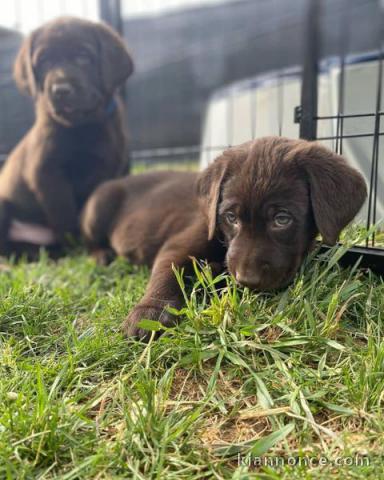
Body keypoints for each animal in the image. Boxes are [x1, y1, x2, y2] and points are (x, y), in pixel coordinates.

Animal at [81, 137, 366, 340]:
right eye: (231, 217)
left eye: (282, 219)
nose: (247, 280)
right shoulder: (182, 243)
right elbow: (167, 273)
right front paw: (148, 313)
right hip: (98, 205)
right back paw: (102, 256)